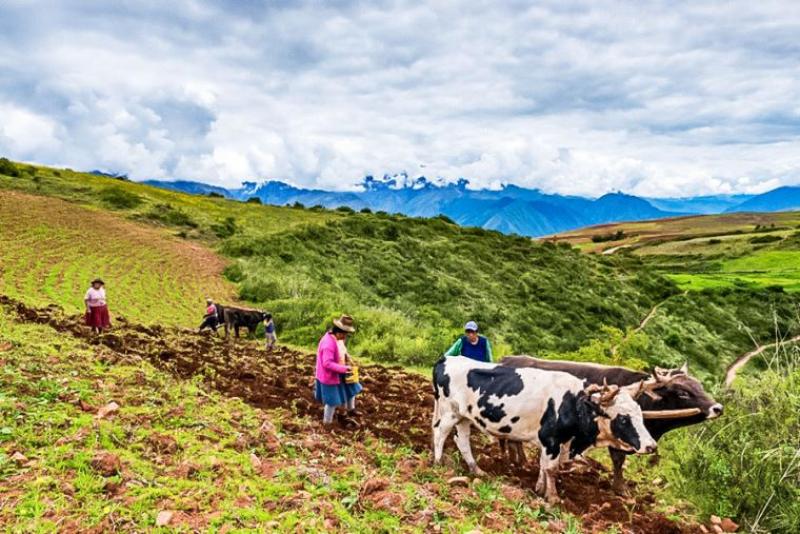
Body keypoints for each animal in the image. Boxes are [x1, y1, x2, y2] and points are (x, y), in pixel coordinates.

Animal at [500, 356, 720, 494]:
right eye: (683, 392)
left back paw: (516, 459)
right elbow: (618, 460)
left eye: (700, 386)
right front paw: (620, 488)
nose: (718, 408)